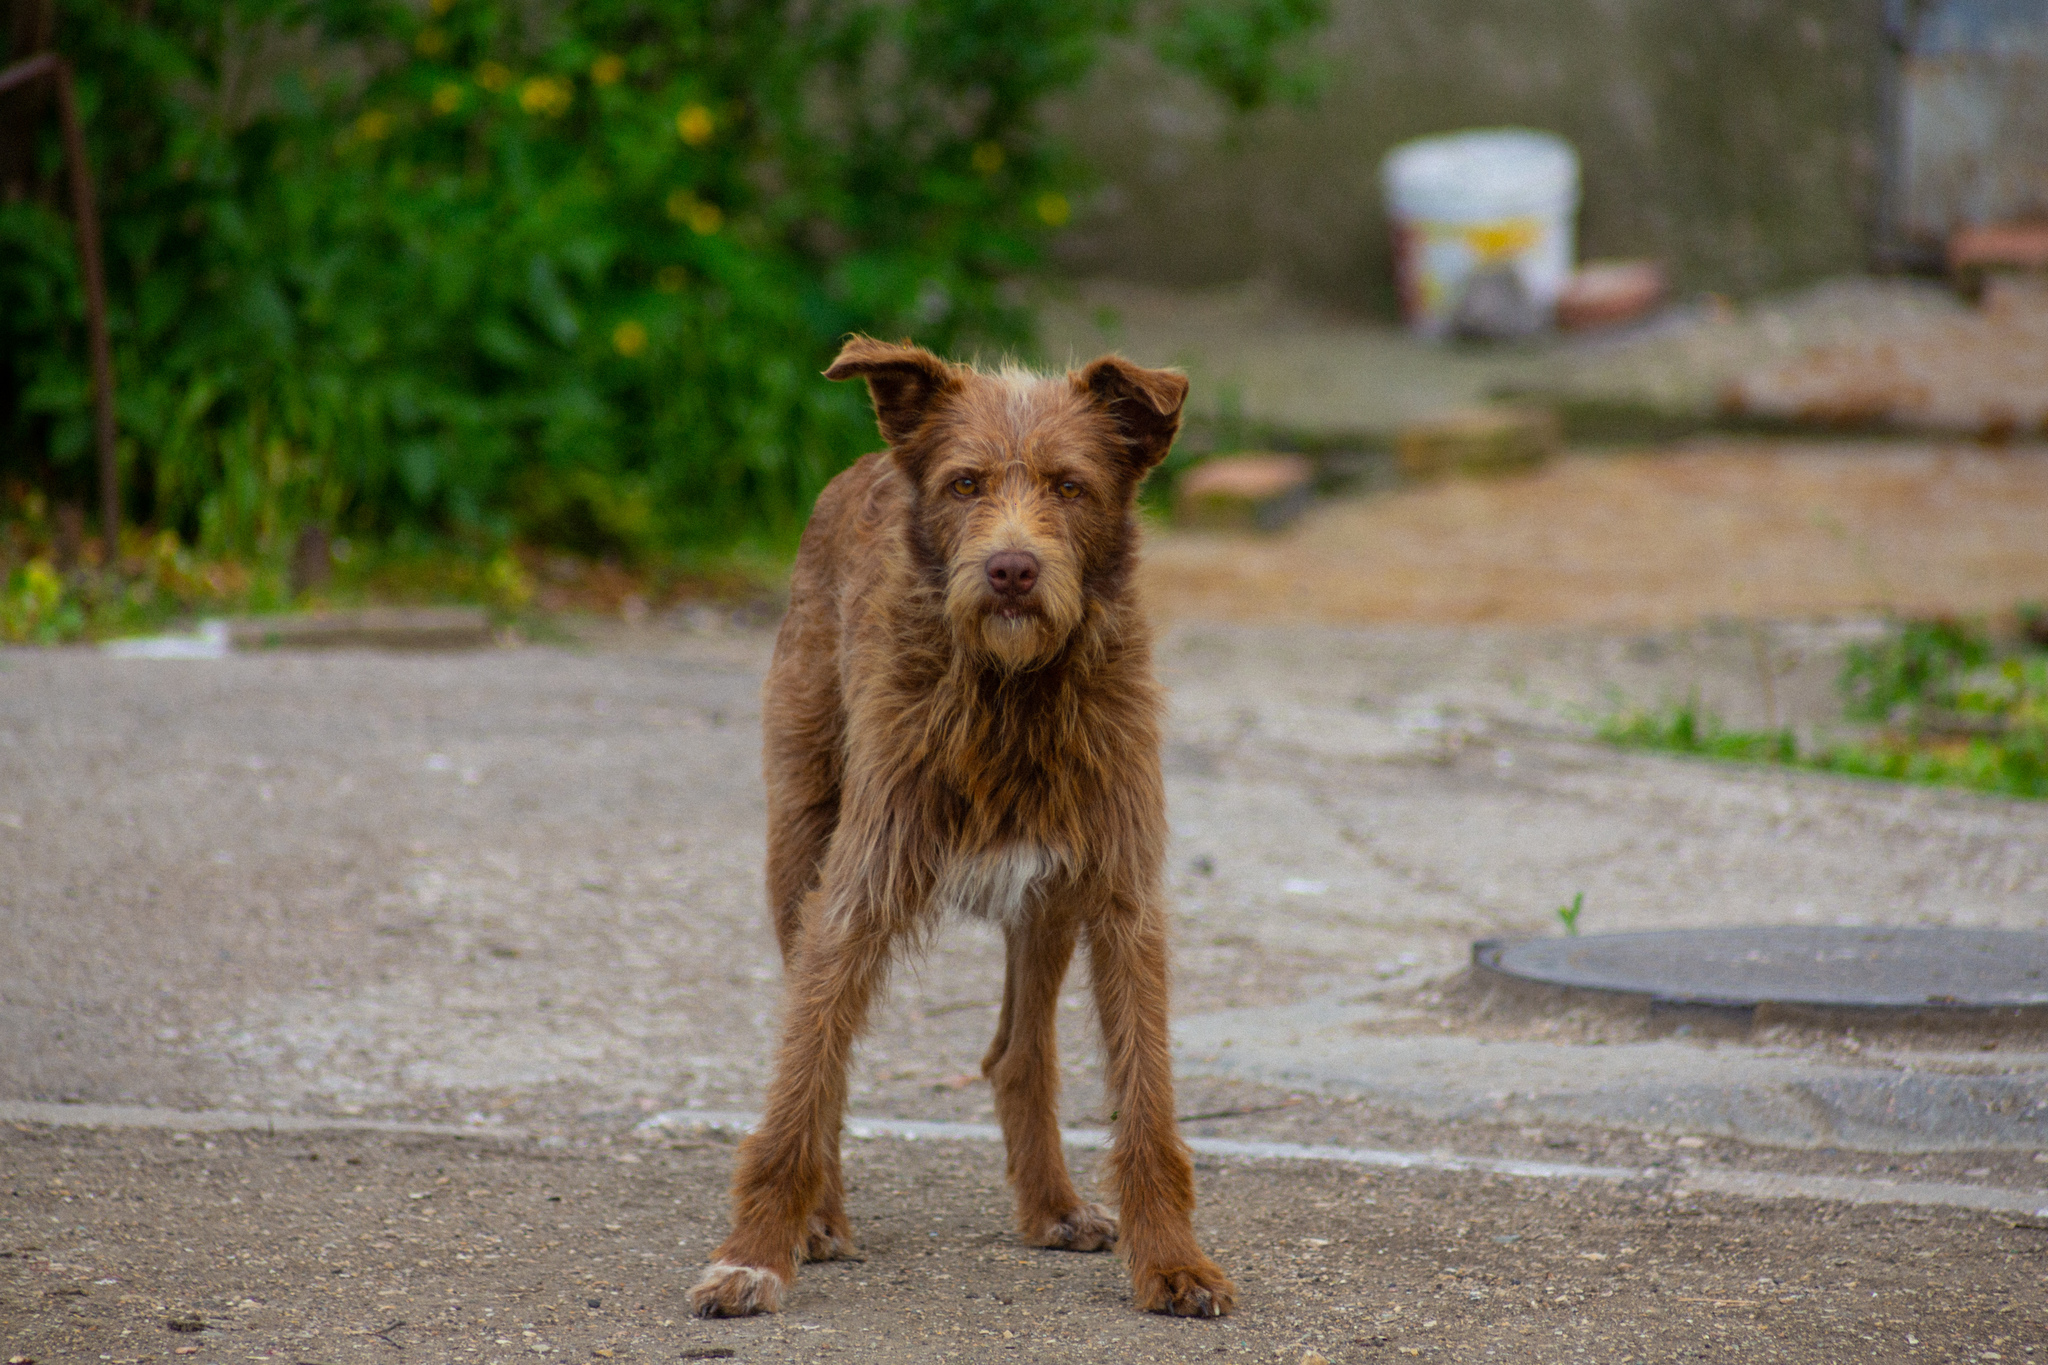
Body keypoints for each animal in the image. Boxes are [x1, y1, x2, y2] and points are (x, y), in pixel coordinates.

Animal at [688, 335, 1228, 1317]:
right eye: (965, 484)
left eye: (1070, 486)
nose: (1011, 568)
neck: (1010, 693)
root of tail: (865, 461)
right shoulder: (857, 887)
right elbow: (803, 1075)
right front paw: (754, 1253)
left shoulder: (1120, 895)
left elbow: (1145, 1099)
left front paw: (1173, 1260)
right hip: (798, 844)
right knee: (821, 1041)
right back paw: (822, 1217)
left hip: (1047, 903)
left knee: (1018, 1052)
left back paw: (1052, 1206)